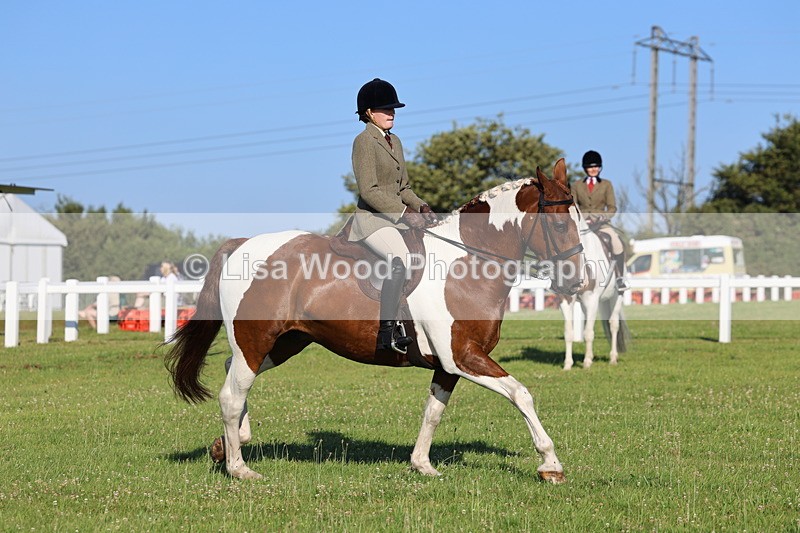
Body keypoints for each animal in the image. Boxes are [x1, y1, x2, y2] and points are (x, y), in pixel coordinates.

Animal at [166, 159, 584, 483]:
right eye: (560, 225)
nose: (576, 282)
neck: (467, 264)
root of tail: (242, 244)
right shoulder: (463, 355)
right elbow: (521, 394)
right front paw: (551, 464)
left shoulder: (451, 363)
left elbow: (433, 411)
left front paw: (421, 464)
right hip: (256, 341)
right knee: (231, 395)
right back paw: (240, 468)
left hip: (285, 342)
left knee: (232, 373)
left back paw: (228, 445)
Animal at [558, 213, 630, 370]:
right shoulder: (566, 299)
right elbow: (569, 332)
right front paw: (568, 364)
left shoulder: (591, 299)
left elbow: (588, 333)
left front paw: (586, 363)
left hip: (617, 297)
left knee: (613, 324)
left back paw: (613, 358)